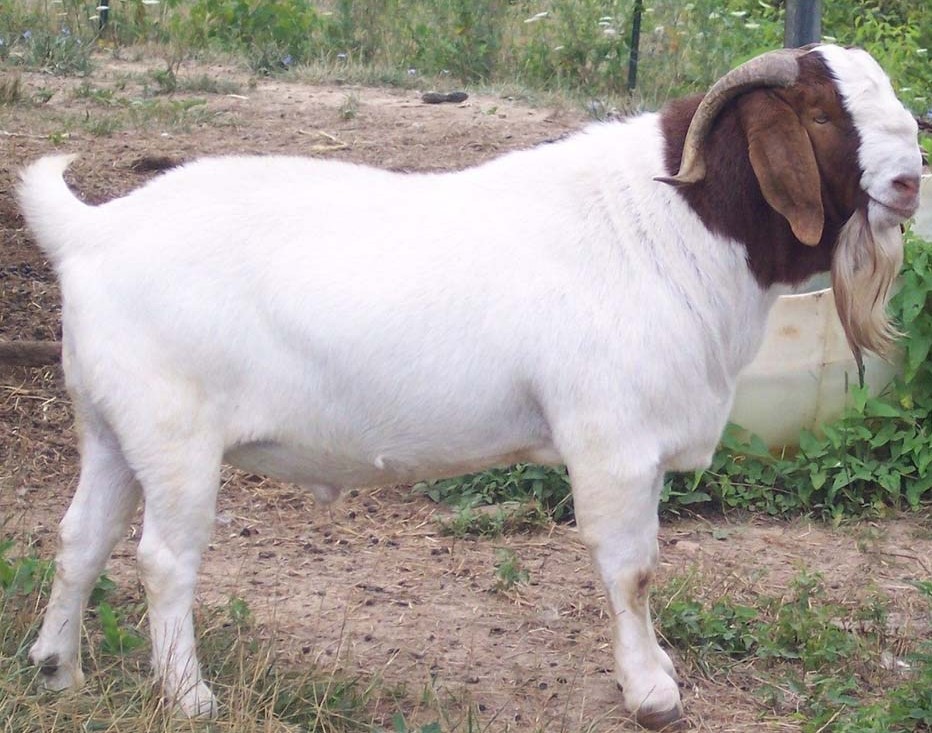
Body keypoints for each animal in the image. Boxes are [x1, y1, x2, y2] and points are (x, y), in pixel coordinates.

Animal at [17, 45, 921, 729]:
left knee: (80, 538)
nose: (911, 178)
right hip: (176, 435)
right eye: (819, 115)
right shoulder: (613, 441)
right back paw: (191, 695)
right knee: (165, 558)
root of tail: (91, 231)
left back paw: (57, 670)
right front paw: (653, 691)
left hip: (110, 428)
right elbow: (632, 569)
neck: (667, 224)